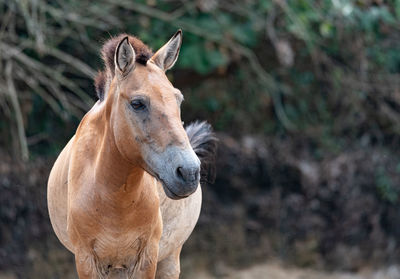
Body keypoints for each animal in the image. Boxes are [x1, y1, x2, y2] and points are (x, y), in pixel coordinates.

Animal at [47, 30, 219, 278]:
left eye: (178, 99)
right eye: (137, 103)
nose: (188, 172)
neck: (114, 201)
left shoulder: (147, 258)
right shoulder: (86, 260)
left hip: (170, 259)